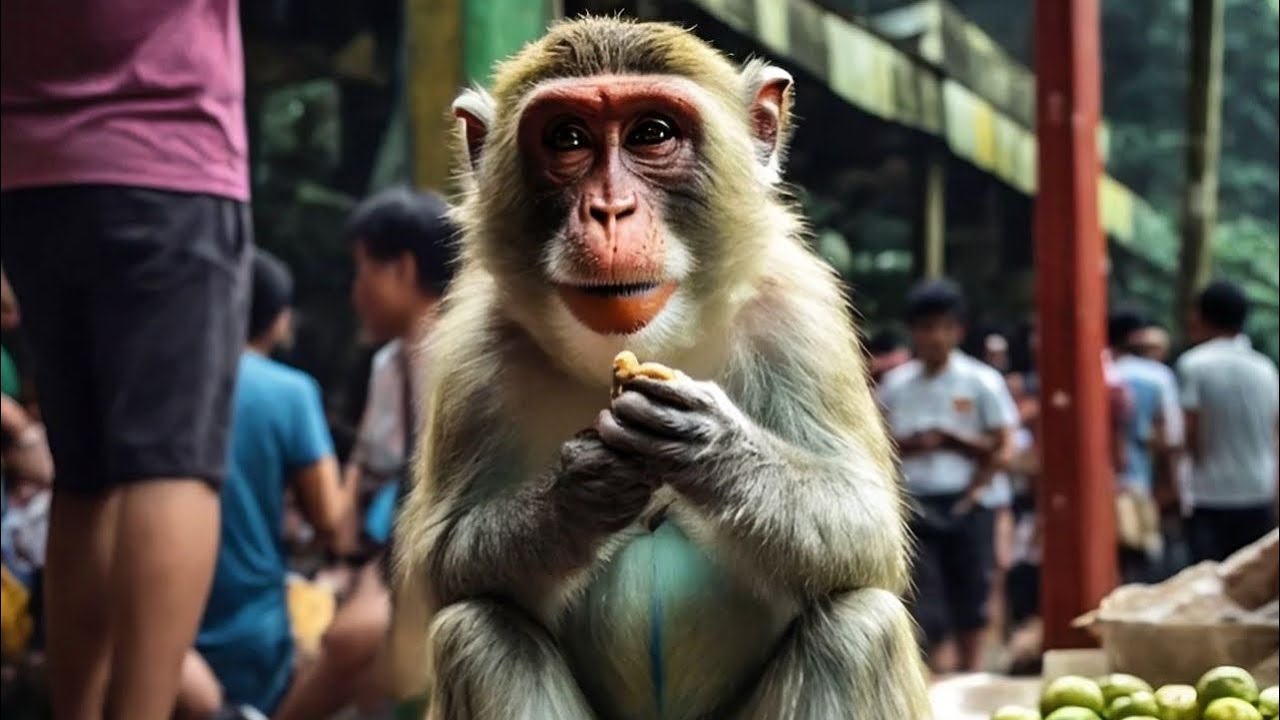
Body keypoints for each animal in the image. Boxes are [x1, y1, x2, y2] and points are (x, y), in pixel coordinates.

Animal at [386, 16, 931, 717]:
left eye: (652, 133)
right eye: (567, 139)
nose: (609, 210)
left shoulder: (800, 315)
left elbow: (866, 529)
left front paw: (708, 444)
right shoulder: (471, 354)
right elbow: (445, 563)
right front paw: (580, 491)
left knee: (859, 627)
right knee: (477, 631)